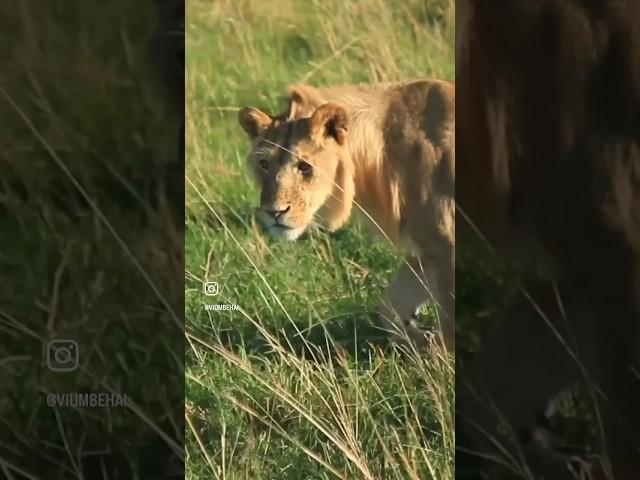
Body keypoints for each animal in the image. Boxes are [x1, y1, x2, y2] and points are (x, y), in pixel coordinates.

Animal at [239, 78, 456, 348]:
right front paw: (420, 341)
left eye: (305, 167)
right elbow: (391, 304)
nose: (274, 212)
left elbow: (449, 323)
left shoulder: (447, 243)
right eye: (264, 164)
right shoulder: (429, 250)